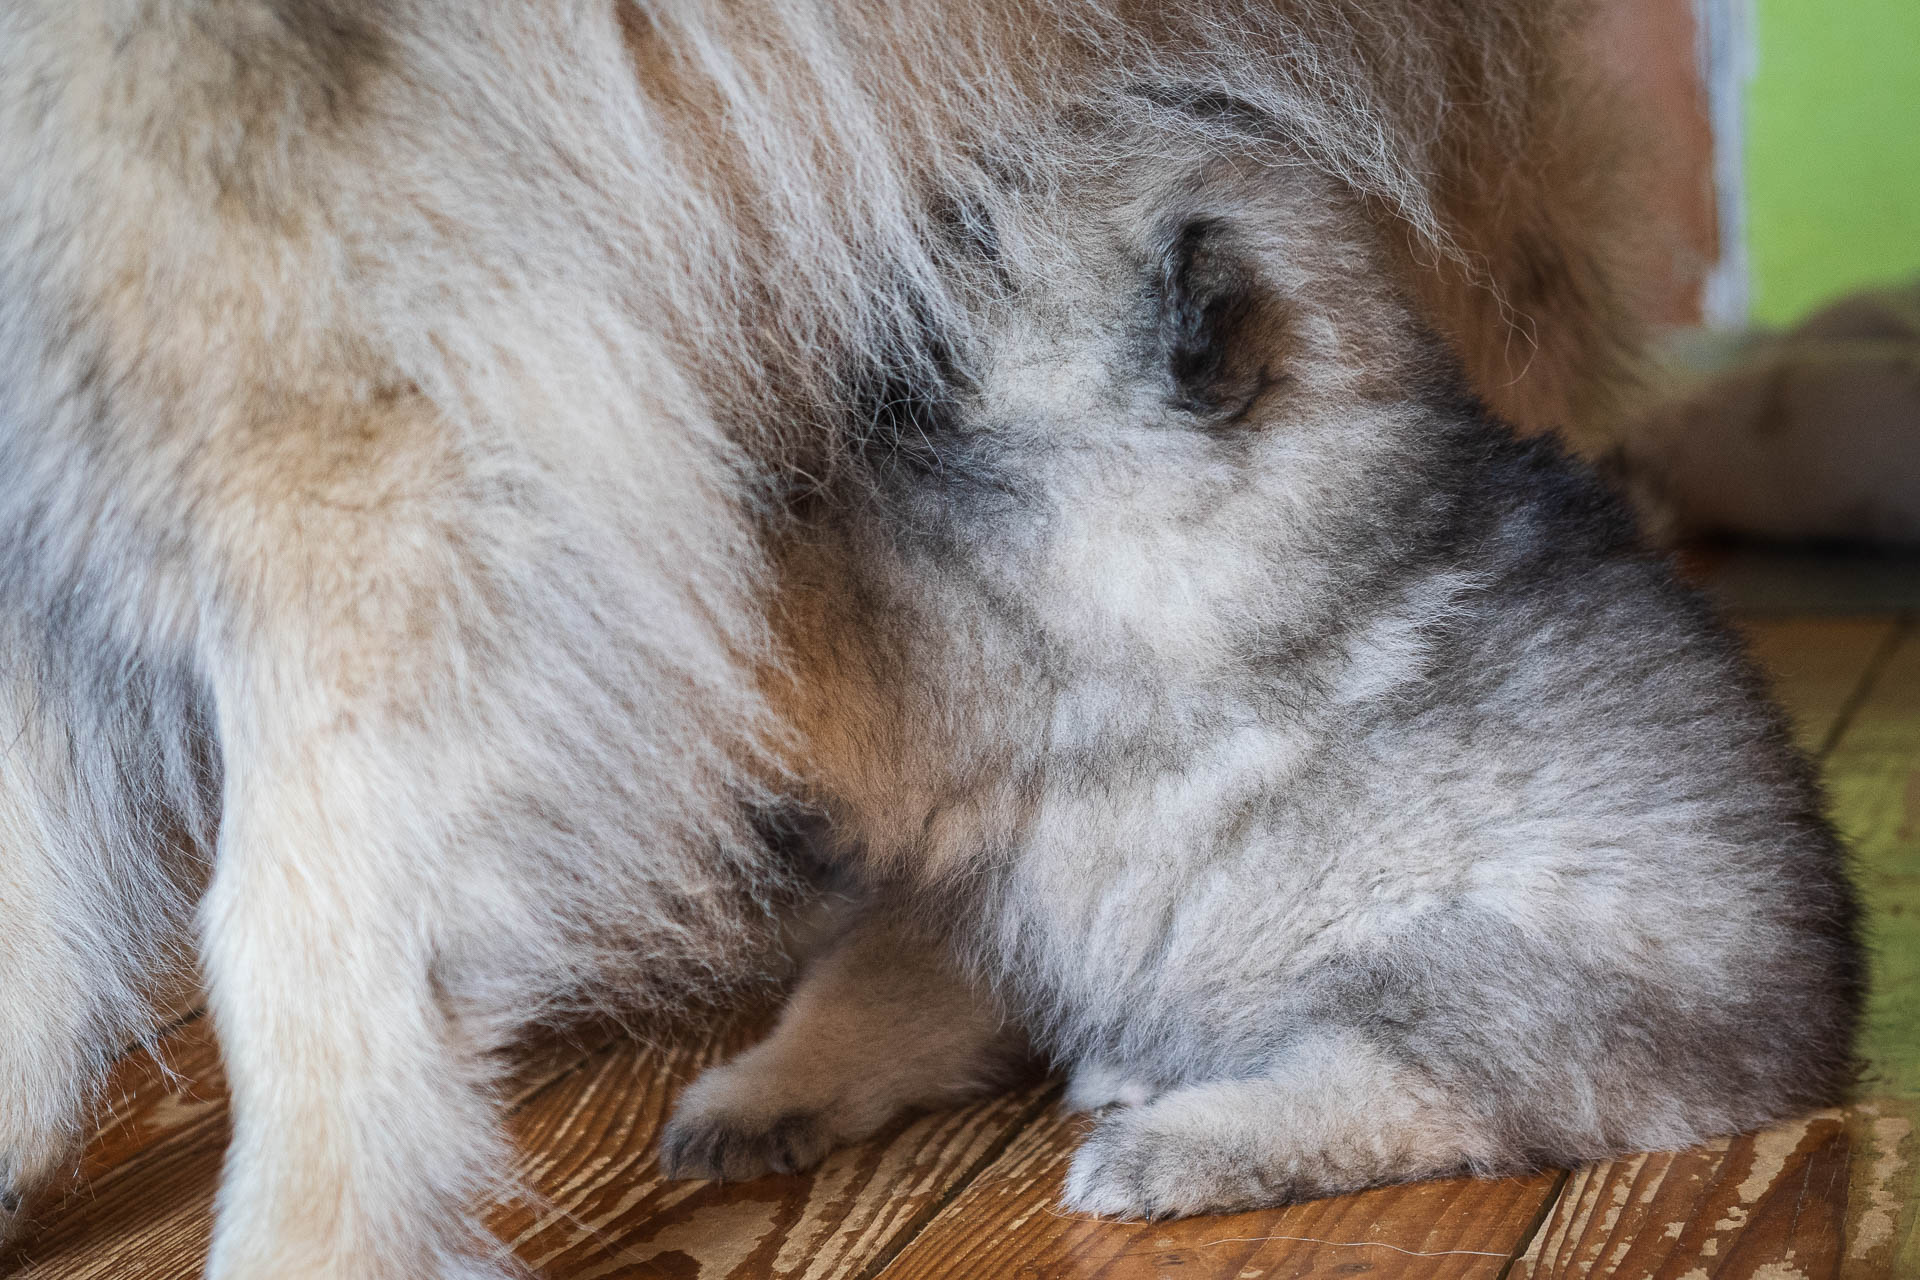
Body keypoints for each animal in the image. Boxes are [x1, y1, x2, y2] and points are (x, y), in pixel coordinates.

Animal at [660, 130, 1858, 1220]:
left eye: (975, 247)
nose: (836, 245)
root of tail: (1815, 1032)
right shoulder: (968, 865)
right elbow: (857, 983)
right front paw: (758, 1087)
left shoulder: (992, 660)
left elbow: (821, 622)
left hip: (1470, 960)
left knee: (1415, 1097)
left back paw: (1168, 1144)